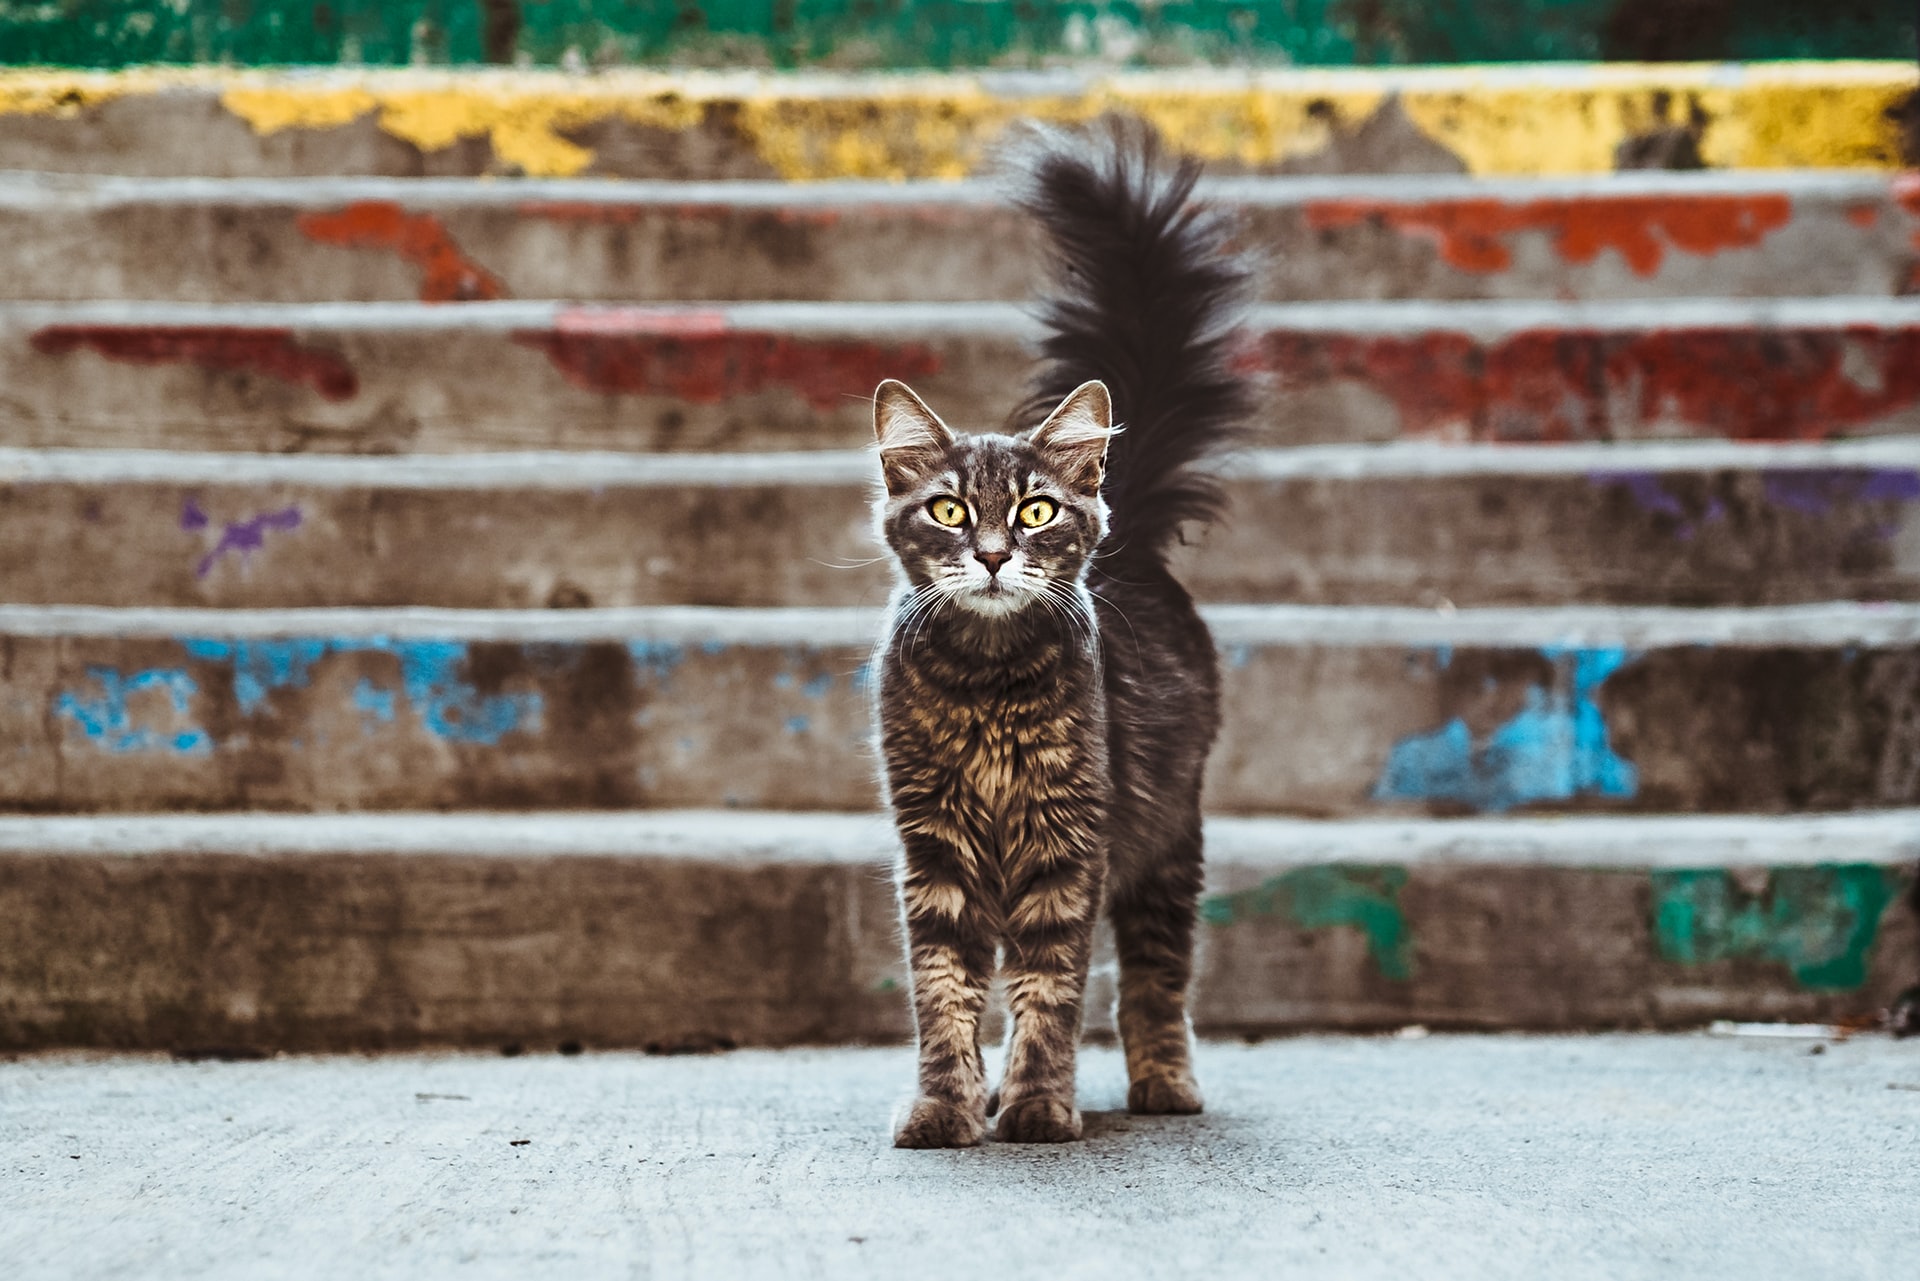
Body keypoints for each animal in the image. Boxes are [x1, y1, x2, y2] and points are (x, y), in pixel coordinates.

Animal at [871, 115, 1259, 1144]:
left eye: (1036, 511)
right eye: (952, 512)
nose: (995, 555)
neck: (985, 683)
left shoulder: (1068, 845)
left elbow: (1052, 990)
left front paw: (1041, 1107)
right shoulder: (935, 850)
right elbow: (945, 993)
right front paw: (946, 1106)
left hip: (1168, 837)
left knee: (1155, 980)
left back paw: (1163, 1082)